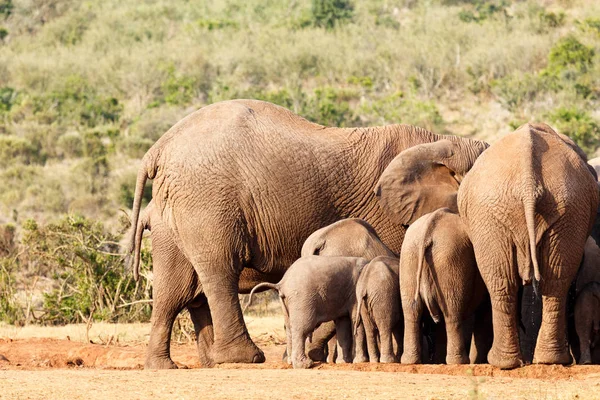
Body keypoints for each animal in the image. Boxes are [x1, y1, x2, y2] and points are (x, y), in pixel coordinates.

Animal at [398, 208, 488, 364]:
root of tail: (428, 231)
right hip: (449, 261)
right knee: (452, 312)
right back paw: (459, 362)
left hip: (412, 258)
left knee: (412, 310)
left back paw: (414, 361)